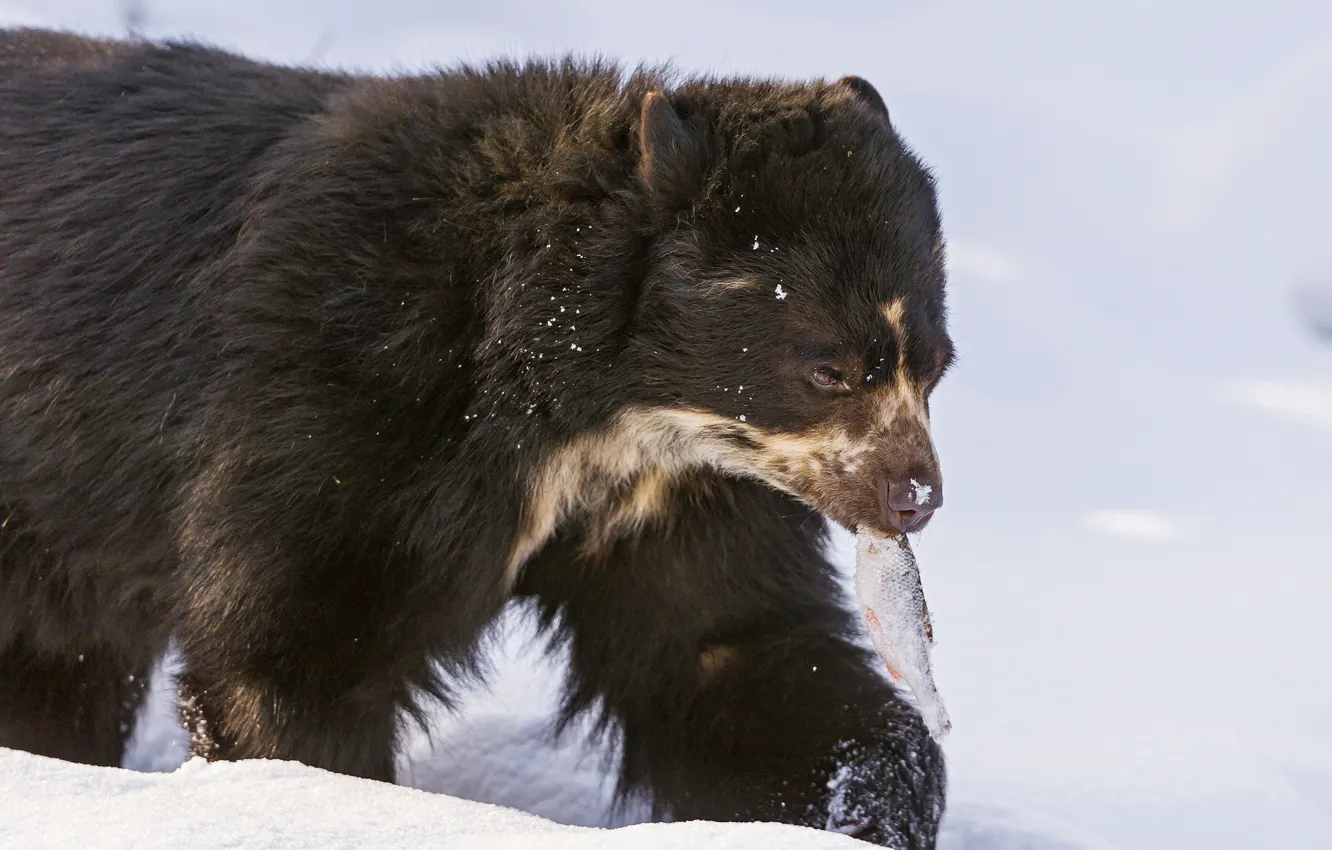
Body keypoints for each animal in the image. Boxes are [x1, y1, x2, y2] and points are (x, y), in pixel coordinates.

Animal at [0, 28, 959, 850]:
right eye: (828, 369)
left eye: (935, 367)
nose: (913, 496)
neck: (594, 412)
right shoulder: (332, 400)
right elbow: (294, 645)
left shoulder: (683, 495)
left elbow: (729, 654)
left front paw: (866, 805)